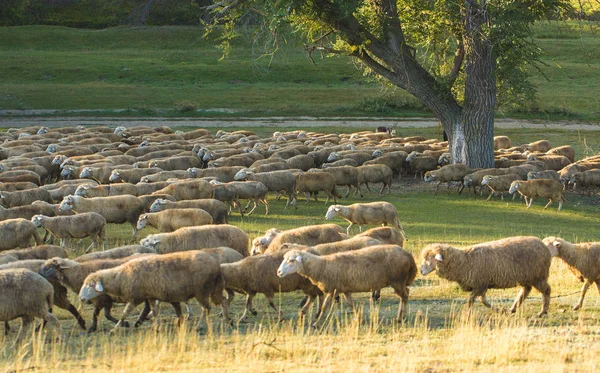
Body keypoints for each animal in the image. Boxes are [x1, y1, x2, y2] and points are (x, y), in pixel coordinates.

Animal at [78, 250, 229, 328]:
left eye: (90, 285)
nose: (81, 298)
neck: (121, 277)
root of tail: (216, 264)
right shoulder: (150, 296)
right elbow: (155, 311)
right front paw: (157, 327)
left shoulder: (135, 298)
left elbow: (125, 313)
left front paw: (114, 329)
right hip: (213, 289)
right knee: (222, 301)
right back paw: (229, 320)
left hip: (201, 290)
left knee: (206, 308)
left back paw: (199, 326)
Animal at [278, 244, 414, 326]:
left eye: (291, 260)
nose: (278, 272)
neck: (321, 266)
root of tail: (407, 254)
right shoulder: (344, 289)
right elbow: (351, 304)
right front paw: (358, 318)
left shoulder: (332, 289)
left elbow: (324, 307)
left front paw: (317, 323)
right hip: (399, 281)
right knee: (405, 293)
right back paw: (401, 316)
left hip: (397, 280)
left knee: (405, 296)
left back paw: (400, 318)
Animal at [420, 235, 552, 314]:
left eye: (429, 258)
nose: (421, 271)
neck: (464, 261)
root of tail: (543, 245)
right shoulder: (481, 285)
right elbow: (483, 301)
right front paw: (498, 310)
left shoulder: (480, 284)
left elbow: (472, 300)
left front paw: (466, 312)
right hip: (527, 277)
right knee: (526, 290)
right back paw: (513, 308)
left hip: (538, 276)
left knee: (547, 290)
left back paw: (542, 312)